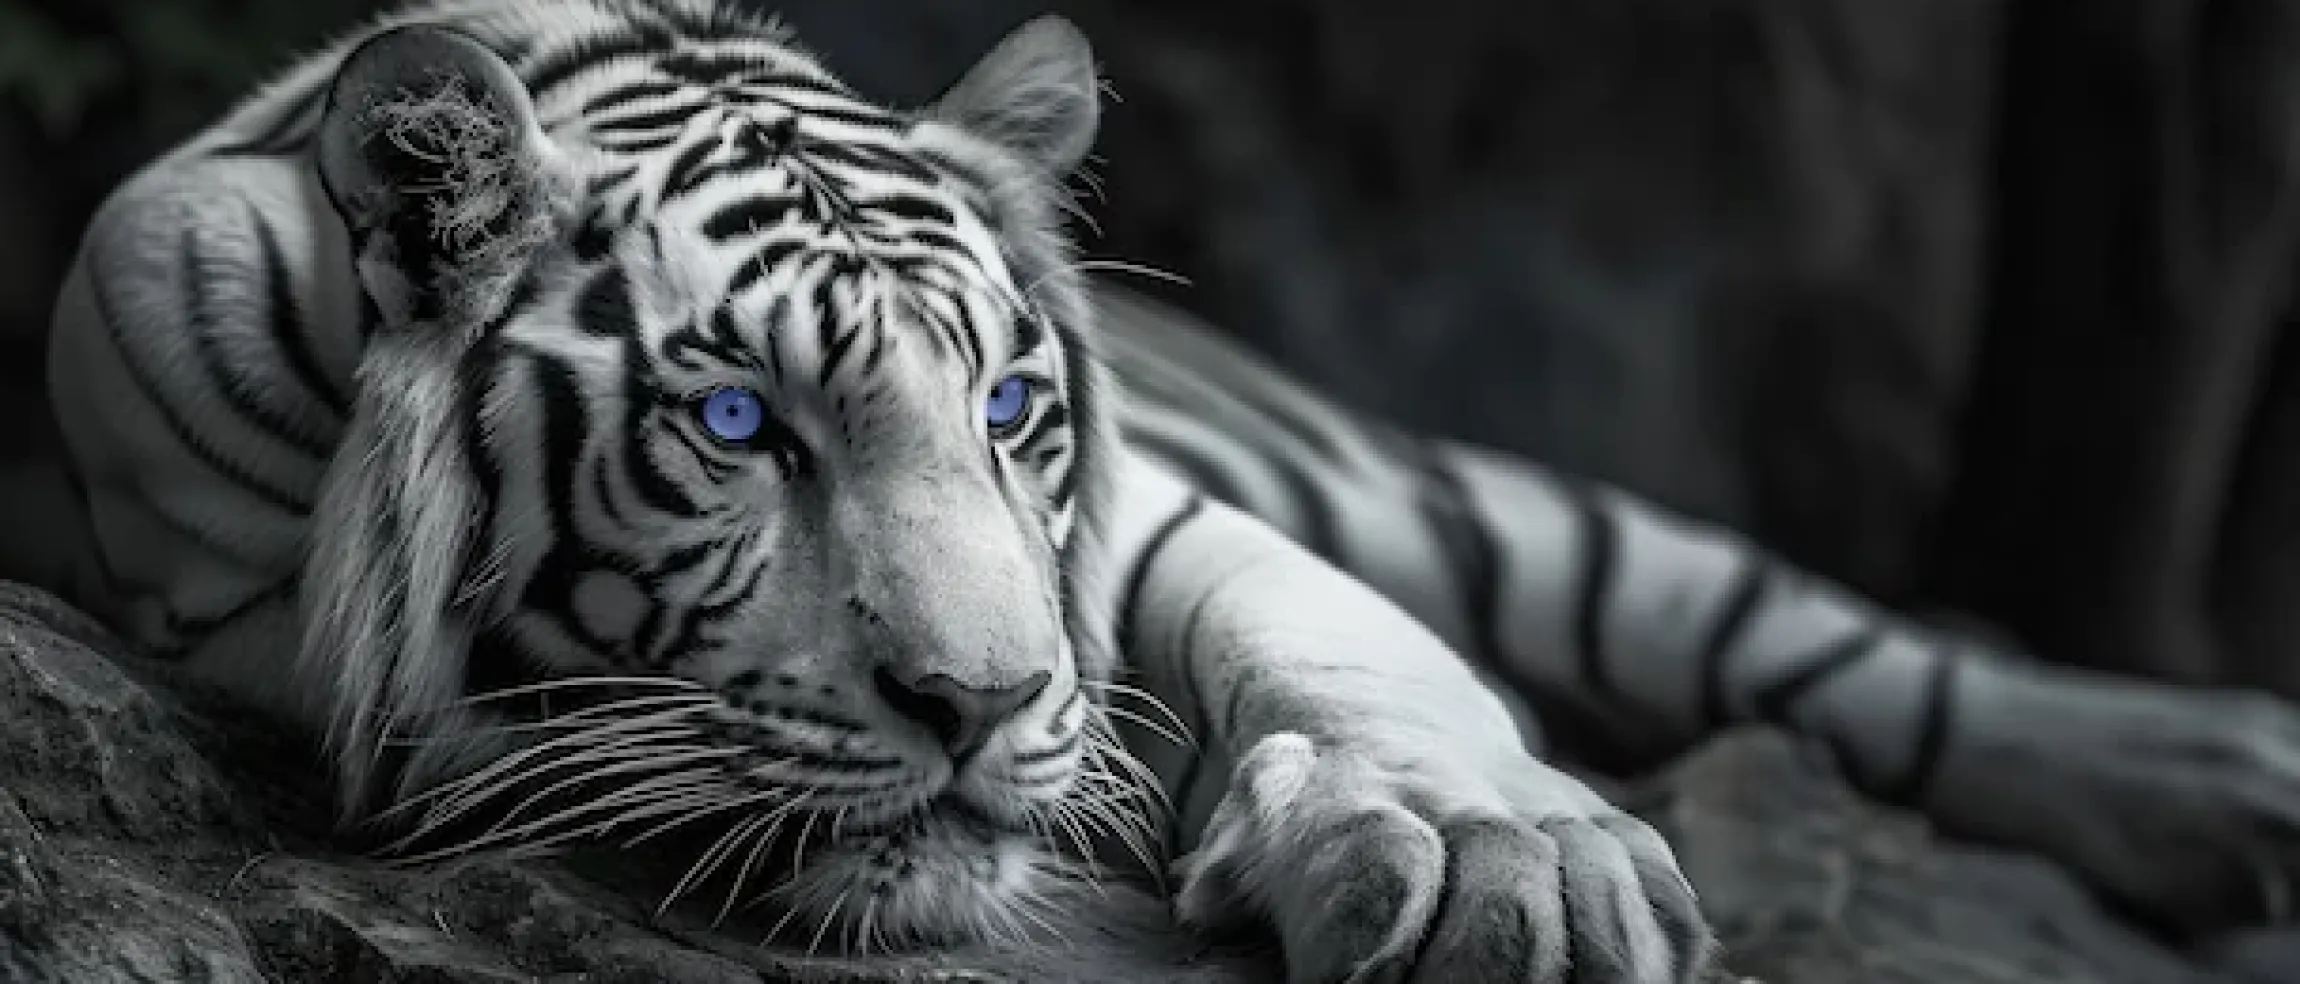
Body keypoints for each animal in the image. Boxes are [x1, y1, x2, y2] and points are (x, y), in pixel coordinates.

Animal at [18, 0, 2300, 979]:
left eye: (1017, 407)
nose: (977, 711)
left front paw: (1508, 867)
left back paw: (2215, 783)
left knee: (1821, 636)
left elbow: (1345, 647)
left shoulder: (1163, 529)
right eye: (738, 424)